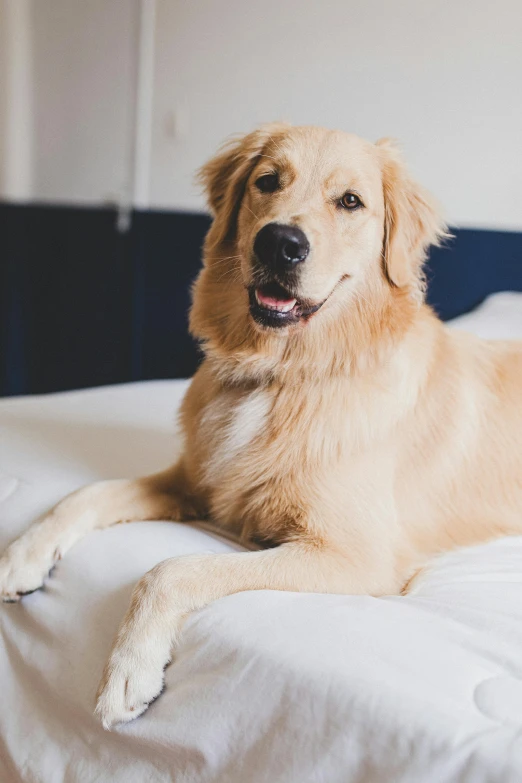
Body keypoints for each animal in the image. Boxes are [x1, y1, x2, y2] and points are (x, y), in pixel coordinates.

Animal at [1, 122, 520, 728]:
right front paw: (22, 557)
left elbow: (173, 567)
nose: (280, 243)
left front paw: (129, 669)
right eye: (267, 182)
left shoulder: (354, 557)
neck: (280, 374)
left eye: (350, 201)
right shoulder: (194, 481)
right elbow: (84, 494)